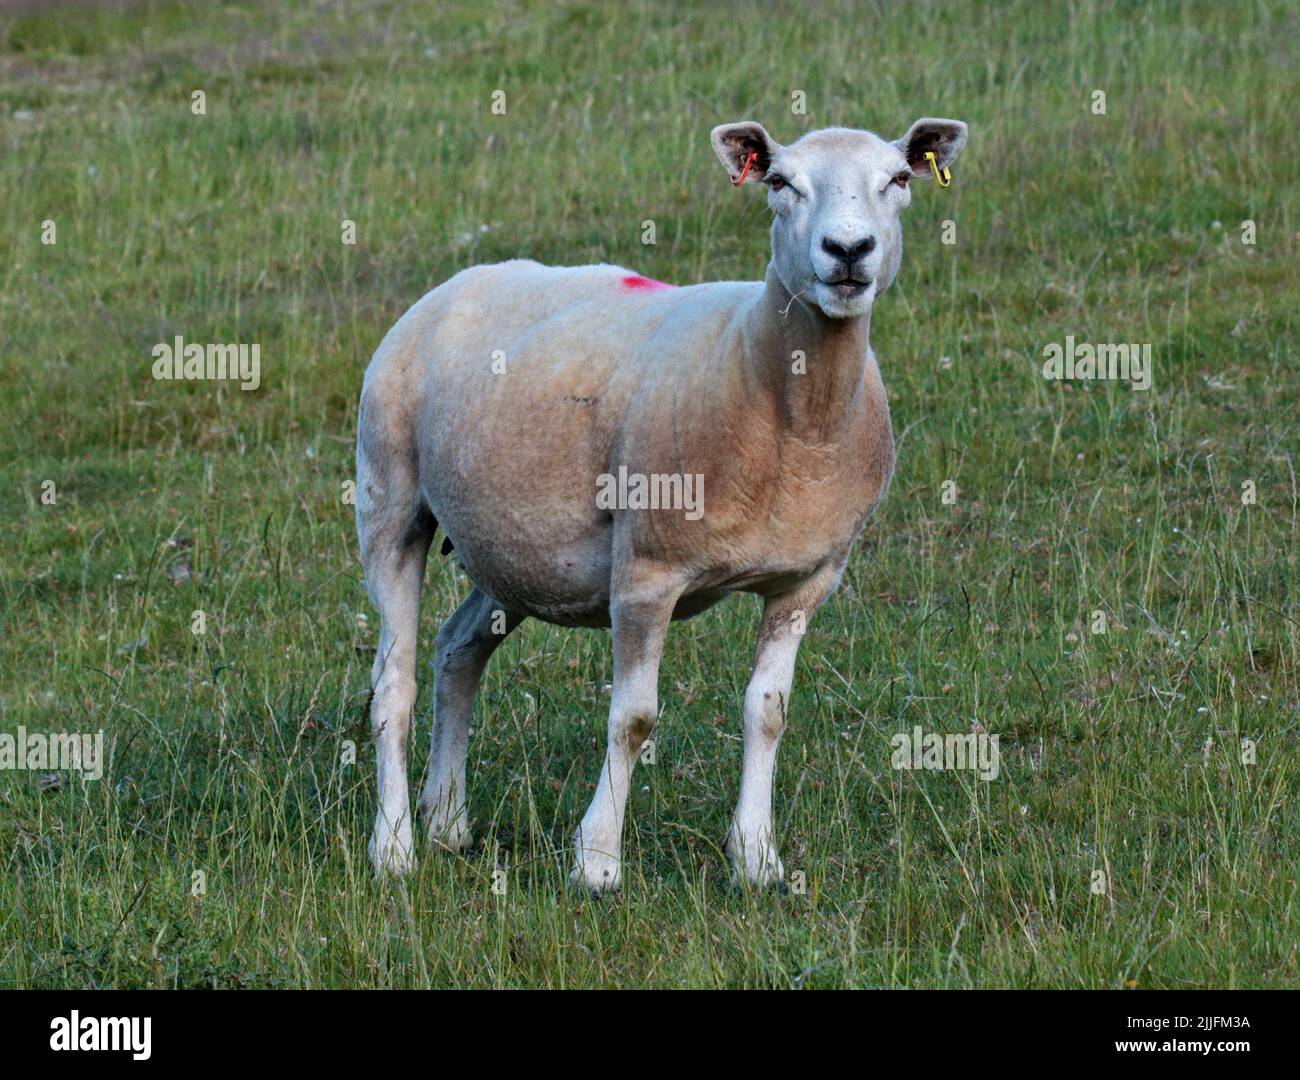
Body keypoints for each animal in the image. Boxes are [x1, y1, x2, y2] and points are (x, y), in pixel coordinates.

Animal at [356, 118, 967, 894]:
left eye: (899, 180)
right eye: (779, 183)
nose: (849, 250)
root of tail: (455, 284)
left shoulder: (807, 580)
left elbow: (769, 713)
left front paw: (756, 857)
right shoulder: (647, 571)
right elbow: (633, 719)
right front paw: (596, 861)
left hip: (513, 550)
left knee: (458, 651)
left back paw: (446, 821)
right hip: (389, 497)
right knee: (392, 686)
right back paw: (394, 846)